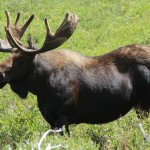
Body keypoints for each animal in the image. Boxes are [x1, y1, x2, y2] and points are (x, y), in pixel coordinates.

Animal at [0, 10, 150, 139]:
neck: (41, 87)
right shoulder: (50, 119)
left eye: (22, 59)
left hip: (143, 106)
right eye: (10, 55)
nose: (0, 72)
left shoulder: (63, 117)